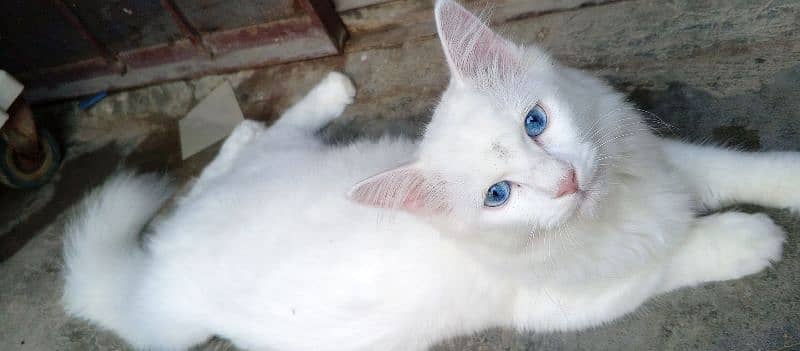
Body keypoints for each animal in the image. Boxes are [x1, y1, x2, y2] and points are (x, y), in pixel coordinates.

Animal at [61, 1, 792, 350]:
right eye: (498, 196)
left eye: (535, 121)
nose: (563, 182)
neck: (613, 207)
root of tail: (170, 240)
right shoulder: (574, 300)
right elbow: (674, 259)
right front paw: (745, 238)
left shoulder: (658, 159)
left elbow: (735, 166)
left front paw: (789, 177)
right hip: (168, 327)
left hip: (291, 161)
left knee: (250, 149)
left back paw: (304, 102)